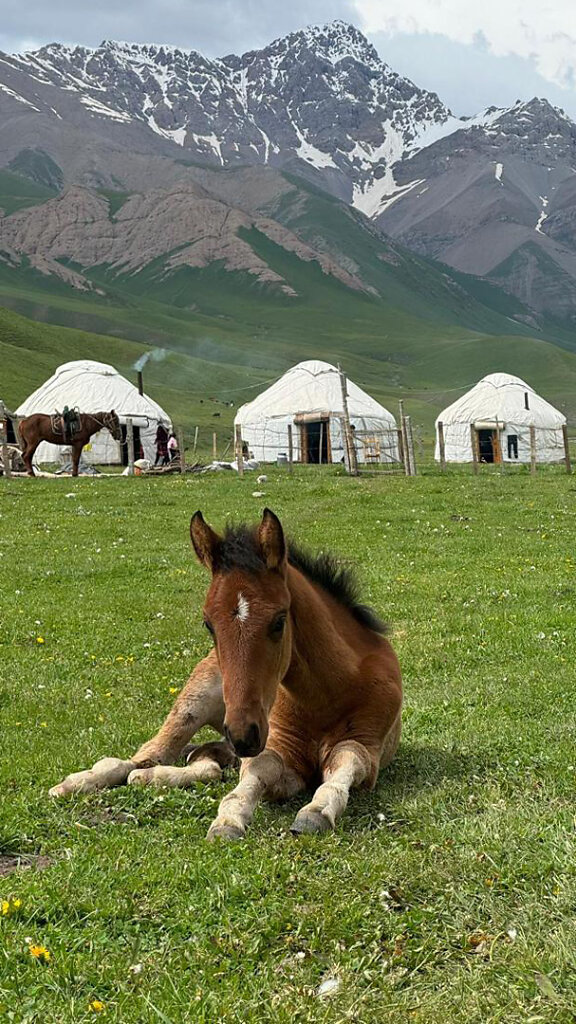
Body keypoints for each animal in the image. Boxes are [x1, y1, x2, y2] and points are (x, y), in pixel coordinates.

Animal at [49, 507, 401, 835]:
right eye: (208, 624)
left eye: (279, 621)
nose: (243, 734)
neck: (326, 694)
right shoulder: (277, 748)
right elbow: (257, 773)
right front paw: (228, 821)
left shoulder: (365, 746)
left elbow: (346, 761)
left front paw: (316, 812)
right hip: (197, 702)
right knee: (146, 755)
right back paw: (77, 783)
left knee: (206, 764)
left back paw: (150, 778)